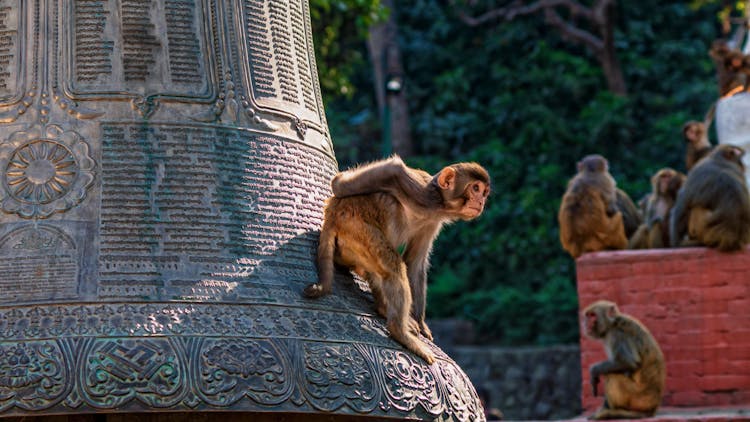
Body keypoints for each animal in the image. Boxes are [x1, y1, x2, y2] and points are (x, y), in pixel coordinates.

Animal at [302, 157, 490, 364]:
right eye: (475, 188)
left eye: (484, 192)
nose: (481, 201)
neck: (440, 202)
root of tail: (333, 215)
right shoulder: (423, 195)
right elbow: (390, 171)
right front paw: (339, 181)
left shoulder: (432, 221)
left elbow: (415, 262)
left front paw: (421, 322)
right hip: (356, 228)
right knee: (393, 256)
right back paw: (399, 331)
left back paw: (384, 309)